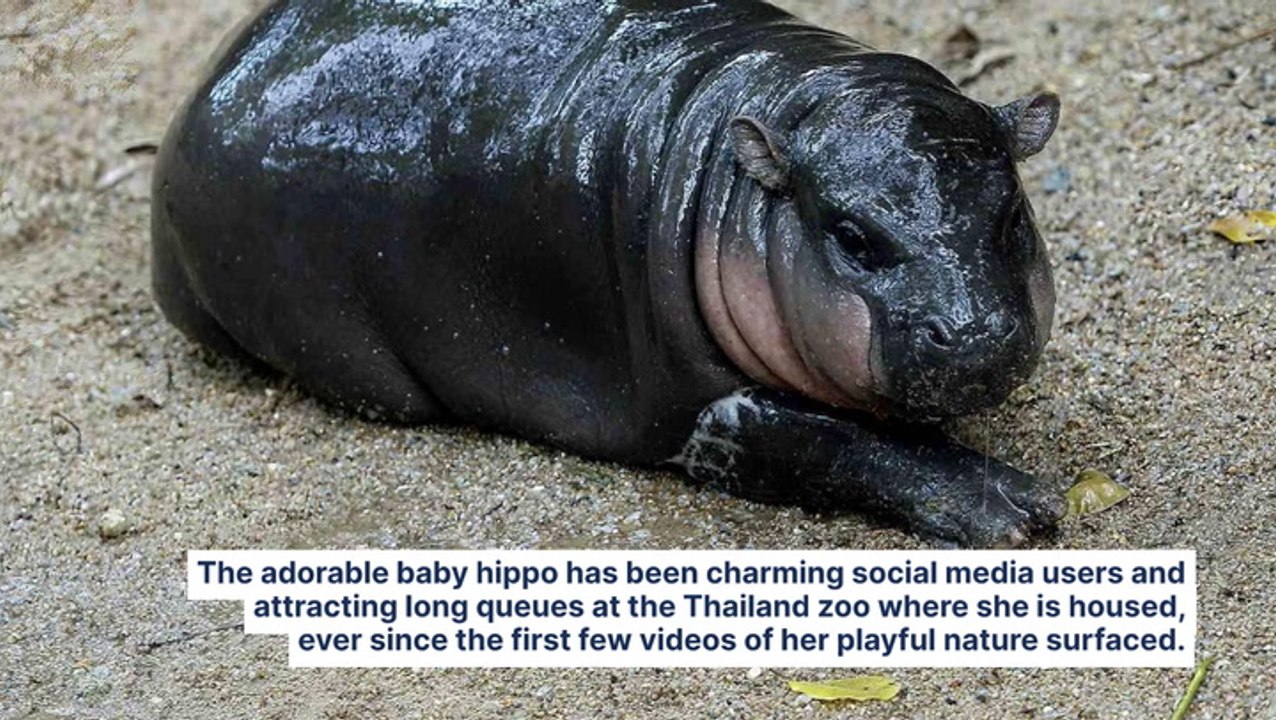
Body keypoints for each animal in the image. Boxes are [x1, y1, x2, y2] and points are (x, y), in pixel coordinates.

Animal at [152, 0, 1064, 546]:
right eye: (851, 235)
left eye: (1012, 216)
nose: (975, 332)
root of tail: (202, 89)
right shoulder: (708, 416)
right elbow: (838, 440)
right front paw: (1018, 508)